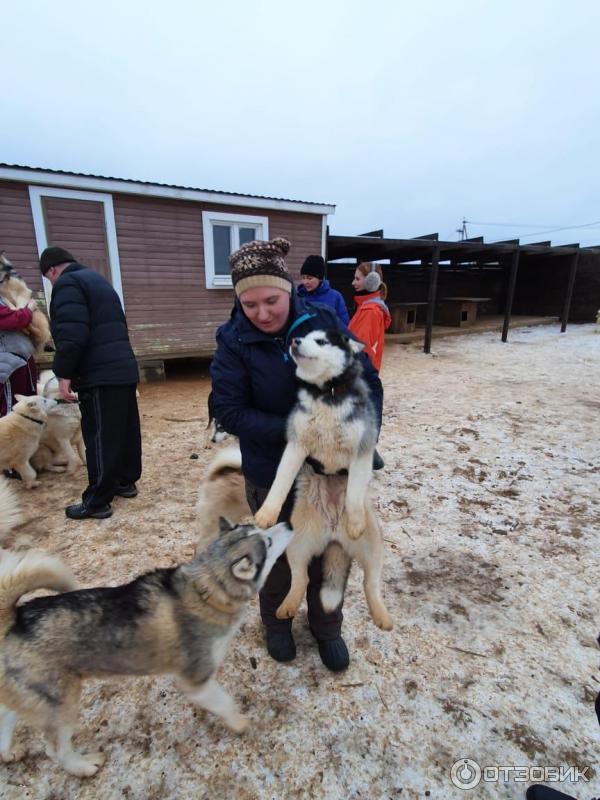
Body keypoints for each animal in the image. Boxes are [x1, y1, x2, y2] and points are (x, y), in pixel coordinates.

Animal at [0, 520, 292, 776]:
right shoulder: (195, 681)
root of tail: (15, 619)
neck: (208, 590)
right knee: (56, 749)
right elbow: (225, 703)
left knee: (6, 718)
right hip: (62, 703)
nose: (288, 523)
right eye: (267, 541)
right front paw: (240, 723)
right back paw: (83, 766)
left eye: (261, 527)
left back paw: (9, 751)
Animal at [254, 332, 392, 632]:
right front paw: (267, 513)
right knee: (301, 578)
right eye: (305, 336)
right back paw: (287, 605)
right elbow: (280, 481)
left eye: (321, 341)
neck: (326, 394)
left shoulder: (362, 451)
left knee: (370, 583)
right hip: (296, 543)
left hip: (374, 546)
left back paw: (382, 615)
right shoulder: (295, 445)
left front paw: (354, 521)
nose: (294, 340)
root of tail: (333, 535)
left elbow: (353, 492)